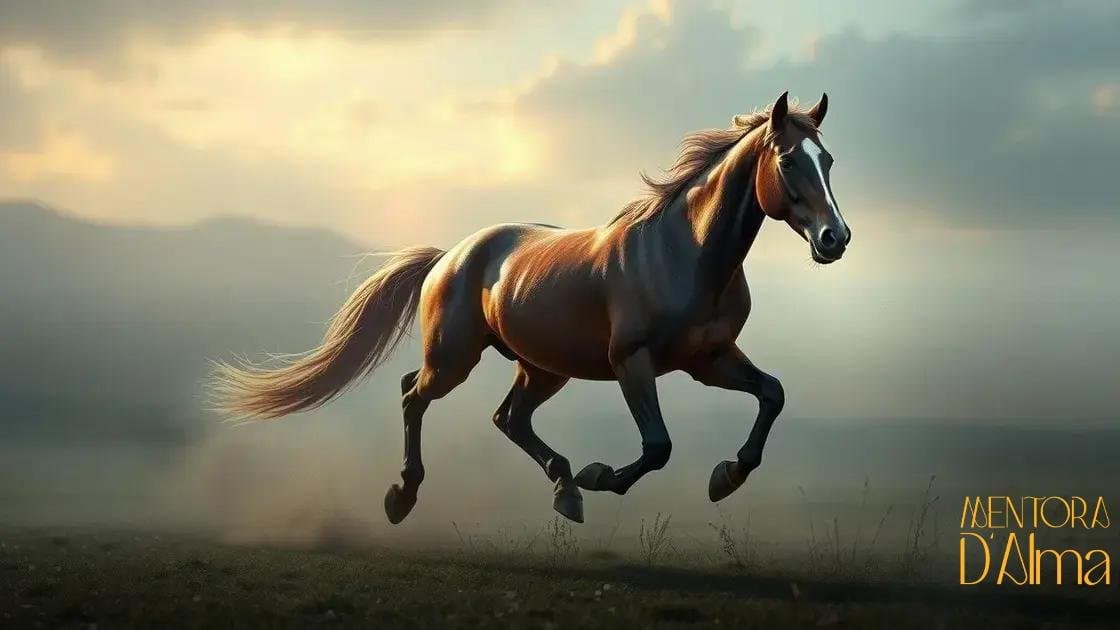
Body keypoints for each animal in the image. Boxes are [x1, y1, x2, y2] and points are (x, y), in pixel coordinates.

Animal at [211, 91, 851, 525]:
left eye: (829, 160)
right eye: (789, 161)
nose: (834, 239)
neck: (686, 252)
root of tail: (450, 256)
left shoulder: (708, 359)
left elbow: (772, 394)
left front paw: (727, 476)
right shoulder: (632, 361)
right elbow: (658, 446)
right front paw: (602, 477)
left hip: (543, 367)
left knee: (508, 418)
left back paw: (563, 488)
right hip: (455, 359)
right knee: (414, 395)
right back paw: (404, 495)